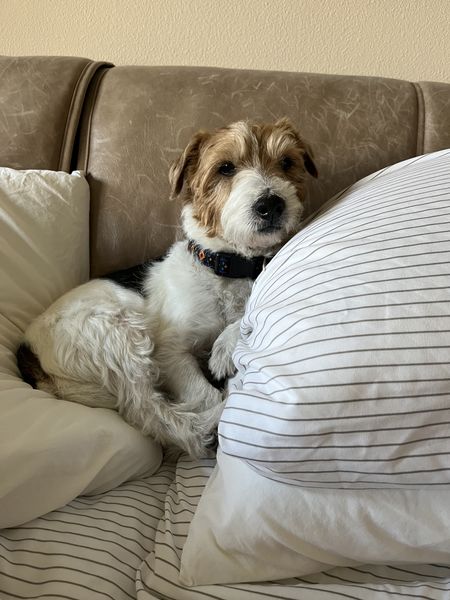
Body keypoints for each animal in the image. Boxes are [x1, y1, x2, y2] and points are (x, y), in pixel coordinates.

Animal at [17, 116, 318, 454]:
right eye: (225, 168)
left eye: (287, 162)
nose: (271, 204)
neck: (227, 267)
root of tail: (28, 349)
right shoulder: (169, 352)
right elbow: (202, 392)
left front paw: (225, 344)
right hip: (119, 334)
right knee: (149, 411)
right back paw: (211, 424)